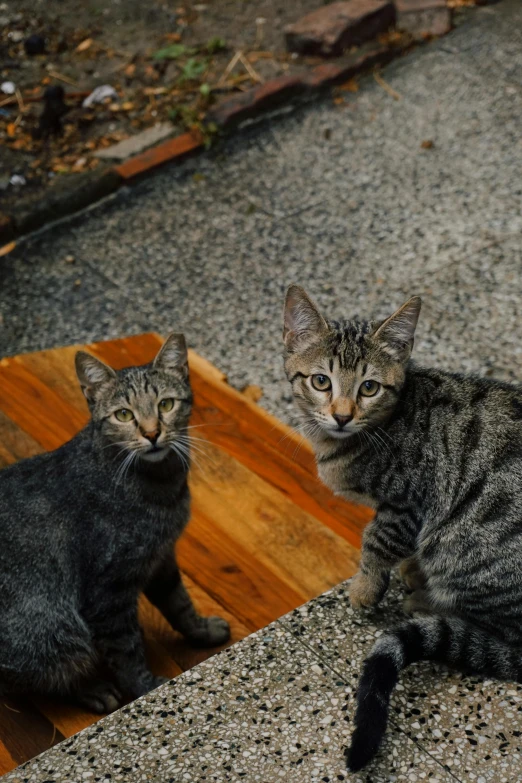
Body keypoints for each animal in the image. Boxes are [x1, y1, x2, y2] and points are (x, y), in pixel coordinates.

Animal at [0, 334, 228, 712]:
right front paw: (148, 688)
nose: (152, 433)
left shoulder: (160, 558)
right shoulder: (108, 594)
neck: (161, 486)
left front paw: (202, 631)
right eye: (124, 415)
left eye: (166, 405)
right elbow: (127, 652)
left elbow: (179, 604)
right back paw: (92, 690)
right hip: (56, 629)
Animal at [282, 286, 520, 772]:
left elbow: (376, 543)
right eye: (321, 382)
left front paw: (365, 588)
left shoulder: (408, 502)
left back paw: (424, 601)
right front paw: (407, 567)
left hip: (466, 547)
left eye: (369, 387)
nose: (341, 415)